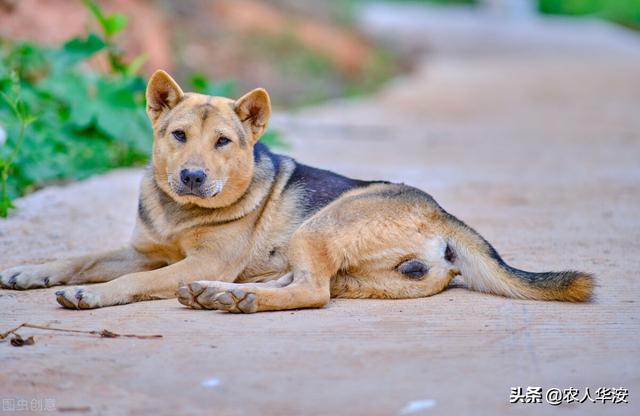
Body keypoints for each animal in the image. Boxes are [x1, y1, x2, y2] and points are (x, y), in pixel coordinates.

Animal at [0, 70, 596, 312]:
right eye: (178, 136)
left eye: (223, 142)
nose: (191, 177)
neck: (180, 211)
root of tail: (443, 214)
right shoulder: (145, 250)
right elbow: (81, 257)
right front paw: (31, 271)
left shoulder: (195, 260)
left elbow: (127, 282)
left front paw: (92, 295)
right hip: (343, 260)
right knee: (311, 283)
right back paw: (224, 294)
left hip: (321, 223)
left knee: (313, 292)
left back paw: (233, 298)